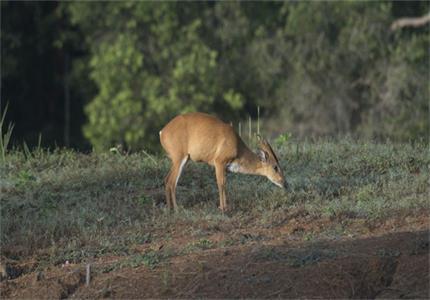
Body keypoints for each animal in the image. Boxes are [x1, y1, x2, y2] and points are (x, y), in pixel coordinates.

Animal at [160, 111, 288, 212]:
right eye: (275, 167)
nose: (285, 183)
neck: (237, 147)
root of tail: (162, 132)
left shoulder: (224, 166)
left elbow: (224, 184)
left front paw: (225, 207)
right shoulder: (219, 161)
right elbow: (221, 184)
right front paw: (223, 208)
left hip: (182, 159)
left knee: (166, 179)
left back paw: (169, 209)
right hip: (179, 157)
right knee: (171, 182)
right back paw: (176, 209)